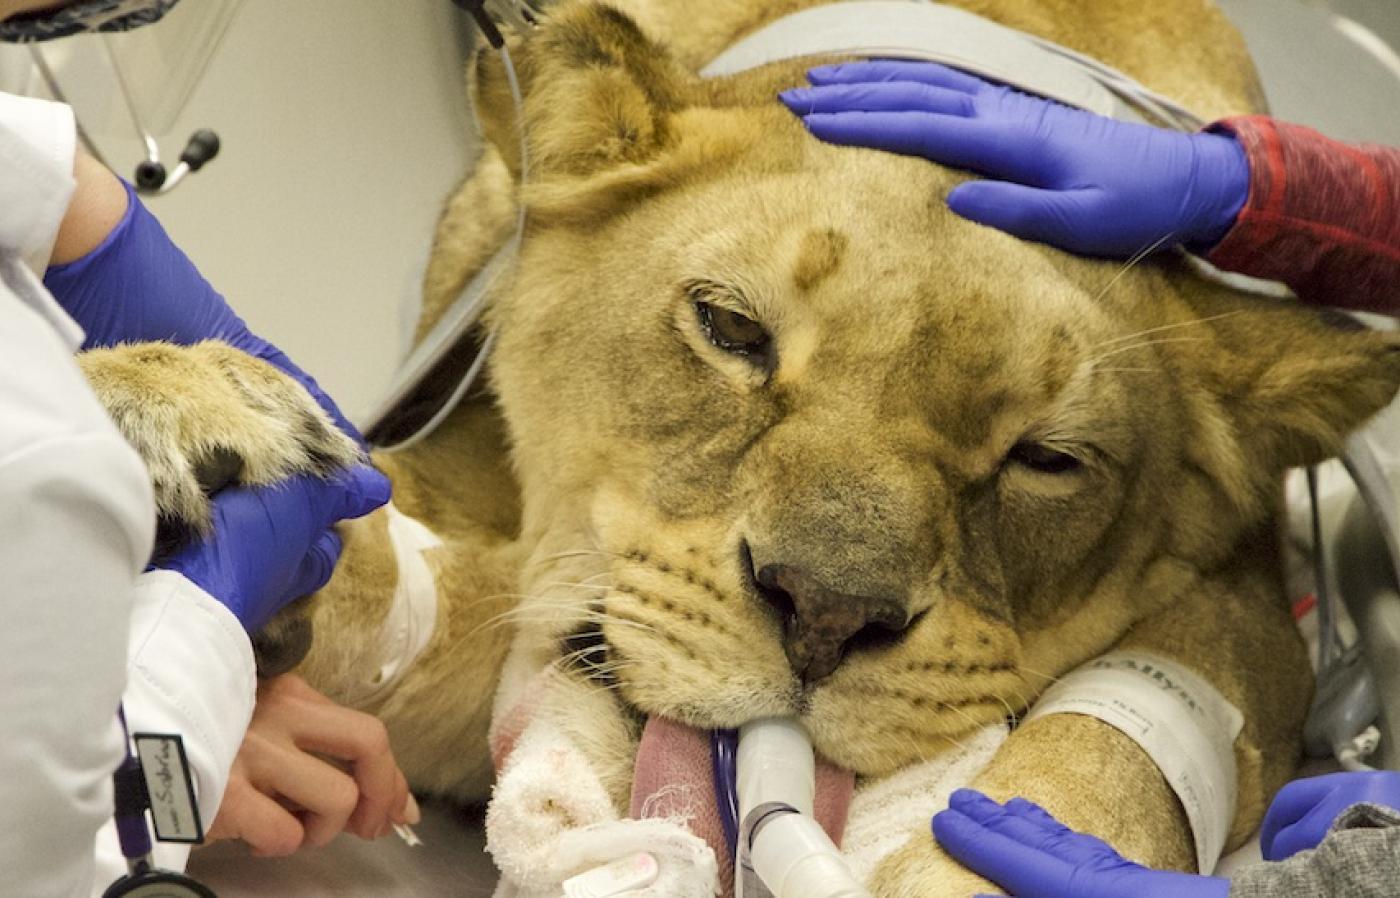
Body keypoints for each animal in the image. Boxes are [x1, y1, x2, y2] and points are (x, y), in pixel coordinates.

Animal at [80, 0, 1400, 894]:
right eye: (728, 329)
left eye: (1045, 458)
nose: (822, 616)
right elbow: (379, 557)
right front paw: (169, 419)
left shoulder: (1243, 605)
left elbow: (1104, 754)